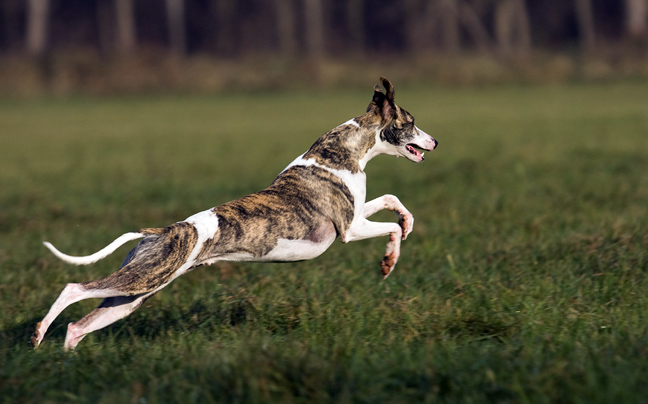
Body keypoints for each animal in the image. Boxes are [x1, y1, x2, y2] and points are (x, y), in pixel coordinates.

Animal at [29, 77, 436, 348]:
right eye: (412, 121)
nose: (435, 141)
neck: (342, 151)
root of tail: (161, 232)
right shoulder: (349, 230)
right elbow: (390, 228)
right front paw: (389, 261)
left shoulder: (356, 214)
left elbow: (392, 200)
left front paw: (408, 222)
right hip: (143, 278)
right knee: (73, 288)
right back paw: (38, 334)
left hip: (134, 294)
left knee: (78, 326)